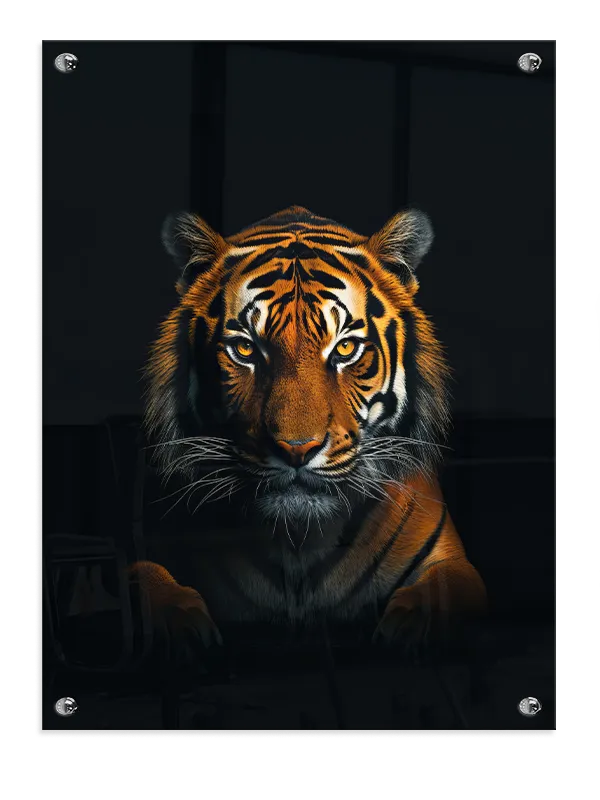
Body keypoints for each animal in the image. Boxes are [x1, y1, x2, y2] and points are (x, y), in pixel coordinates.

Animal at [131, 205, 486, 658]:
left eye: (345, 349)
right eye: (245, 349)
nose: (297, 449)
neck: (298, 541)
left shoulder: (452, 562)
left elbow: (443, 589)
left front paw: (410, 628)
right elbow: (140, 578)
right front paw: (180, 628)